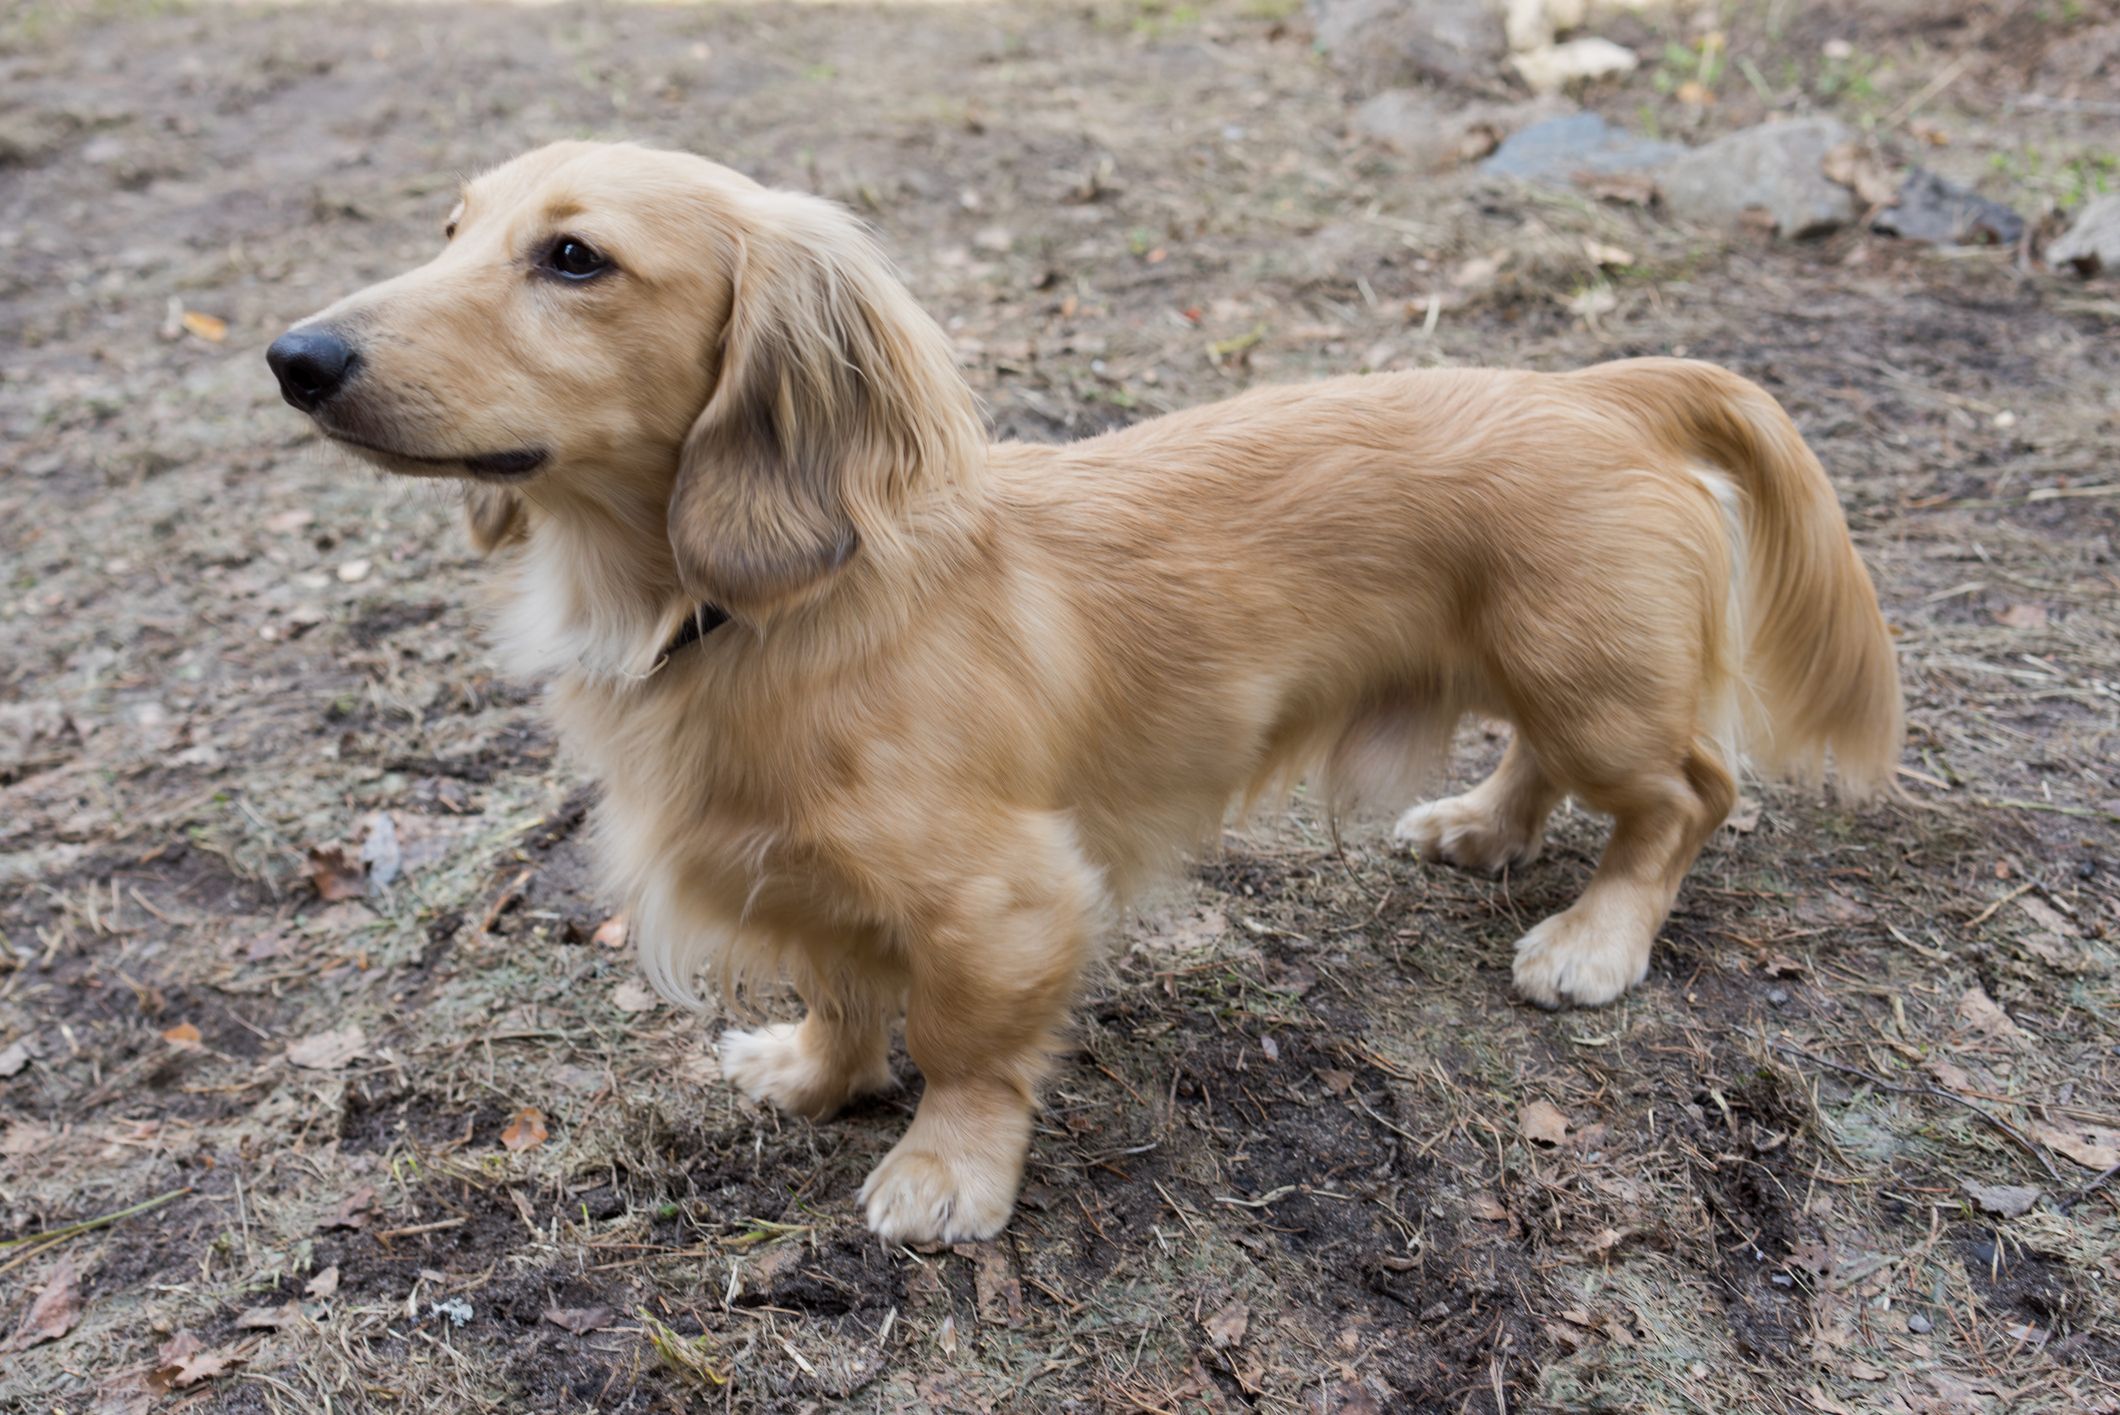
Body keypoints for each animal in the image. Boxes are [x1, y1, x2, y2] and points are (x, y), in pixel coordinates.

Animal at [265, 135, 1907, 1238]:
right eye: (452, 226)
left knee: (1686, 797)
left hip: (1594, 682)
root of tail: (1598, 388)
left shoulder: (1001, 896)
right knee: (1551, 766)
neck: (753, 614)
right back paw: (1479, 830)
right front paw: (811, 1071)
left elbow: (968, 1042)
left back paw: (1594, 937)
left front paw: (944, 1170)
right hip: (1544, 670)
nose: (294, 355)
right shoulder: (806, 883)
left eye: (573, 259)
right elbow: (842, 992)